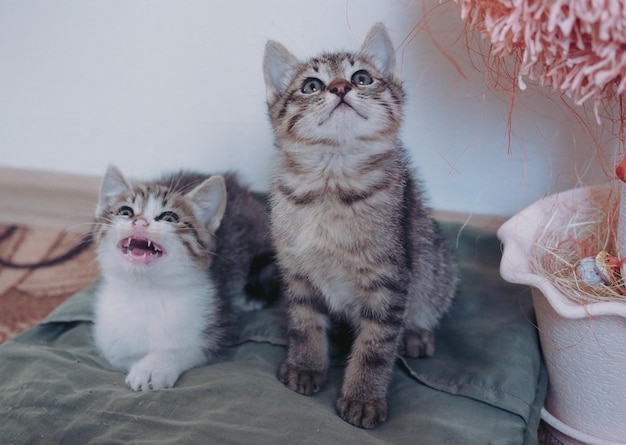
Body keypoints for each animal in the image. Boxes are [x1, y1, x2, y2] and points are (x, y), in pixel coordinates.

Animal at [91, 165, 272, 390]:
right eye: (125, 212)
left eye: (169, 217)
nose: (139, 222)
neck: (145, 292)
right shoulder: (112, 342)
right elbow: (118, 355)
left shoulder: (216, 324)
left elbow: (185, 347)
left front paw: (152, 368)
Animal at [260, 23, 456, 426]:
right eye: (311, 85)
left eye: (362, 78)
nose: (339, 87)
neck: (331, 186)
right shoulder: (296, 273)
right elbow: (304, 324)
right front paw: (306, 365)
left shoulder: (389, 281)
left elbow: (375, 347)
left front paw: (363, 397)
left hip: (434, 262)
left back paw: (417, 334)